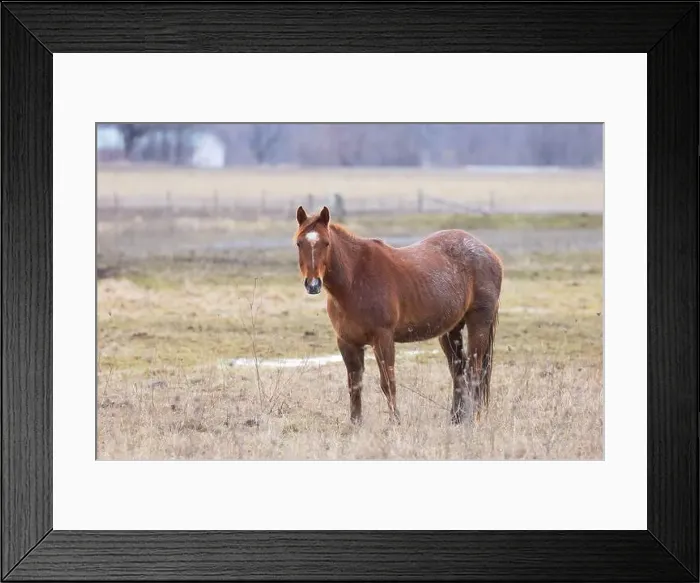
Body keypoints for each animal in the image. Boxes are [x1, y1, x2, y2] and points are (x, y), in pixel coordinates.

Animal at [293, 205, 503, 426]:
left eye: (326, 243)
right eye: (299, 243)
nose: (313, 284)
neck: (354, 280)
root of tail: (489, 253)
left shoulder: (383, 338)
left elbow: (388, 383)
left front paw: (395, 422)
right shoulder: (347, 342)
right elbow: (354, 385)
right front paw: (355, 424)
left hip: (478, 324)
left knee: (474, 371)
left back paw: (473, 419)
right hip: (450, 331)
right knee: (458, 372)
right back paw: (455, 419)